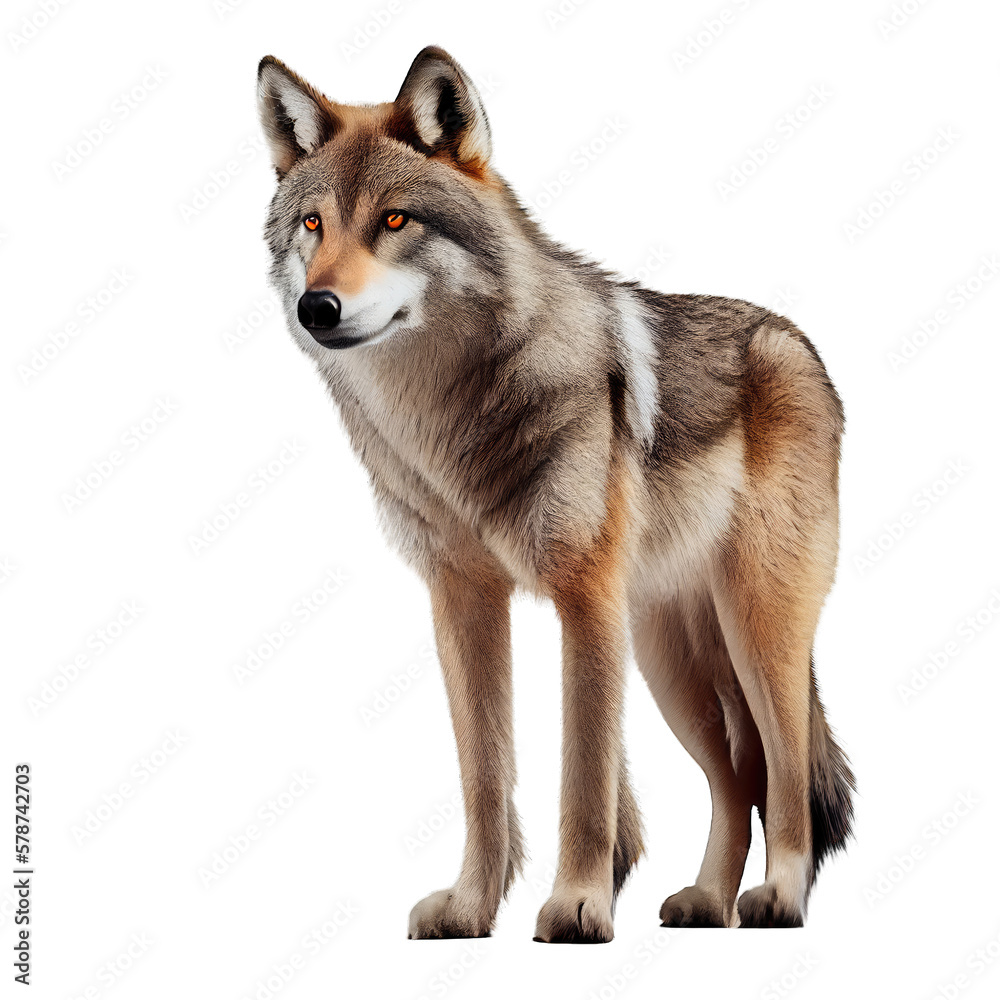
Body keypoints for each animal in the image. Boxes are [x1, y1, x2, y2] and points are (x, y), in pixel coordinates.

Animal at [256, 45, 854, 942]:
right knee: (738, 774)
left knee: (782, 773)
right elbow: (483, 774)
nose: (316, 307)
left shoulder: (586, 599)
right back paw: (706, 901)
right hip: (671, 660)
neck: (446, 421)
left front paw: (577, 904)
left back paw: (777, 898)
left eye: (395, 222)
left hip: (757, 628)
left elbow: (585, 775)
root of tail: (798, 344)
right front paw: (472, 908)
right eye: (313, 224)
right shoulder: (462, 600)